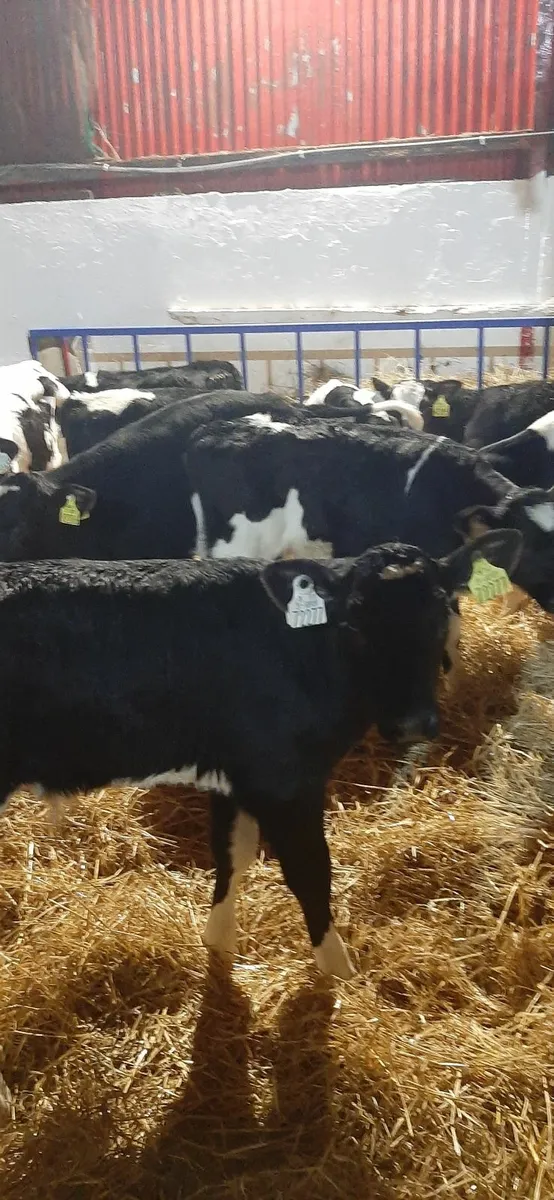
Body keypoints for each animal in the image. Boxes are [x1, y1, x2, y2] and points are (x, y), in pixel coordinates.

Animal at [0, 531, 520, 976]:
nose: (413, 722)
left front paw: (219, 942)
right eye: (354, 622)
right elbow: (310, 871)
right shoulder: (285, 780)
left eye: (440, 611)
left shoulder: (237, 773)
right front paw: (338, 973)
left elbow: (235, 853)